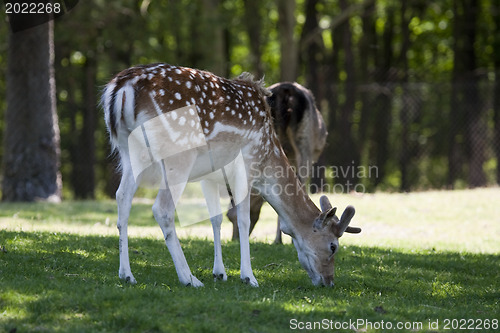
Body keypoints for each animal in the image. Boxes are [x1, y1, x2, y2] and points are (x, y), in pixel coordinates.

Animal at [101, 63, 362, 286]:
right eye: (333, 246)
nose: (329, 281)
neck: (268, 155)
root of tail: (122, 88)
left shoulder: (209, 175)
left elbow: (216, 218)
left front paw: (220, 273)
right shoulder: (246, 167)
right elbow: (243, 219)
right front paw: (249, 277)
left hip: (129, 152)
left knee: (122, 197)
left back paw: (127, 275)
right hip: (178, 155)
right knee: (162, 209)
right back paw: (189, 278)